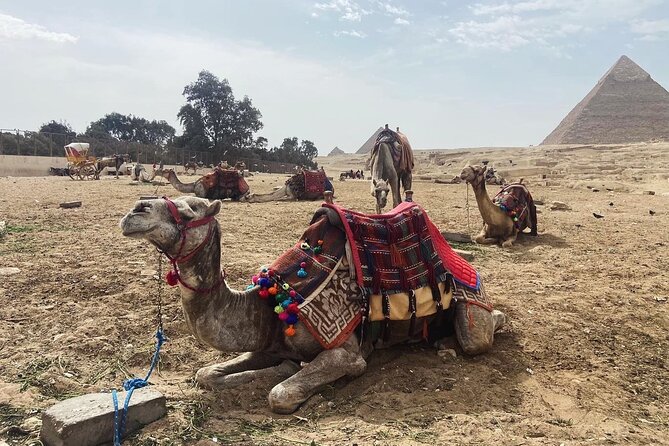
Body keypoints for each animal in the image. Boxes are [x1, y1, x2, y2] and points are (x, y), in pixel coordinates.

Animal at [120, 195, 506, 414]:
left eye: (190, 210)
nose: (134, 211)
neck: (271, 304)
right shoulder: (268, 341)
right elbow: (206, 374)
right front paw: (283, 366)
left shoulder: (345, 351)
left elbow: (280, 393)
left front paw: (287, 373)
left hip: (471, 302)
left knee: (479, 335)